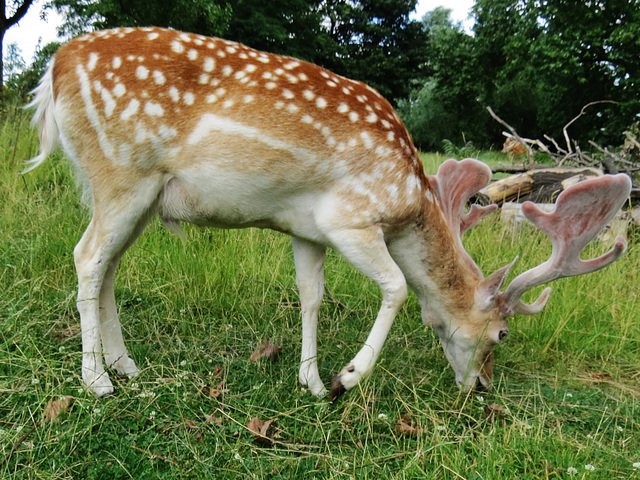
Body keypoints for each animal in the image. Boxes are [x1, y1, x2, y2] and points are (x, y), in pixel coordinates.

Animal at [26, 28, 632, 400]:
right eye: (501, 334)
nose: (480, 387)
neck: (408, 201)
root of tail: (54, 67)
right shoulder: (350, 220)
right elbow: (396, 286)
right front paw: (348, 378)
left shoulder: (306, 231)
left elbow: (311, 296)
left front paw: (312, 383)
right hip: (122, 173)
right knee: (86, 257)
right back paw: (96, 382)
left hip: (138, 196)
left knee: (108, 266)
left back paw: (125, 366)